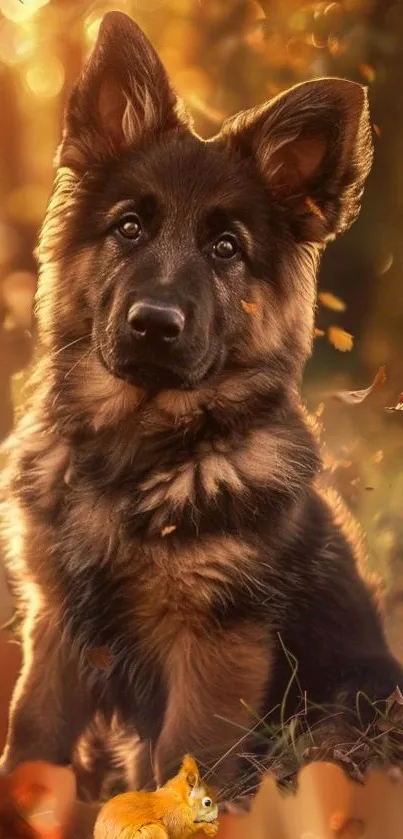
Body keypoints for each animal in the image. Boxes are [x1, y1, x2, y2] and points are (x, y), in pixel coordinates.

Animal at [0, 9, 403, 800]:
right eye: (128, 227)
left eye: (225, 248)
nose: (154, 323)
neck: (130, 451)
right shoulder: (56, 627)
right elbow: (32, 742)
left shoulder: (217, 647)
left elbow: (187, 761)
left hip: (344, 717)